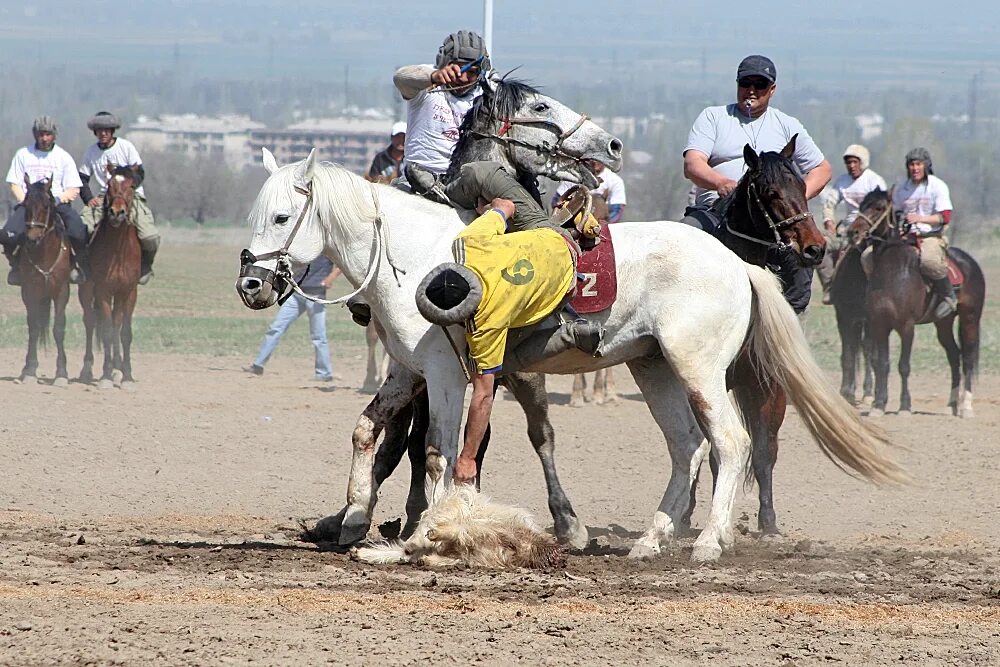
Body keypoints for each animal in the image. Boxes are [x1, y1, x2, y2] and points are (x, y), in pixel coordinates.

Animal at [14, 177, 72, 386]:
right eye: (25, 204)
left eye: (46, 206)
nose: (33, 239)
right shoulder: (30, 292)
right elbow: (33, 328)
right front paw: (30, 369)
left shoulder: (61, 292)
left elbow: (59, 328)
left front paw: (62, 373)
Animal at [78, 164, 142, 388]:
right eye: (110, 184)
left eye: (132, 185)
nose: (117, 212)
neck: (118, 251)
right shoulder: (103, 291)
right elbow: (105, 331)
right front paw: (106, 375)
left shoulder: (129, 292)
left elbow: (124, 332)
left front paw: (127, 375)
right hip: (86, 290)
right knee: (89, 322)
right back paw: (87, 369)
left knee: (116, 322)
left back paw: (117, 368)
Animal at [240, 78, 900, 560]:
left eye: (281, 218)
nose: (251, 284)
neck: (416, 248)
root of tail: (738, 264)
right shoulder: (409, 371)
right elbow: (368, 431)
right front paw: (354, 517)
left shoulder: (450, 374)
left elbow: (437, 453)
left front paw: (422, 537)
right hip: (654, 368)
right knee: (686, 445)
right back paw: (650, 540)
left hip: (699, 368)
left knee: (730, 444)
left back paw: (709, 542)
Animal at [852, 188, 984, 418]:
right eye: (861, 205)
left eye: (878, 207)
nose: (854, 232)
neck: (894, 272)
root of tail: (971, 263)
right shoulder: (879, 325)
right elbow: (882, 364)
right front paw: (878, 405)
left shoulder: (906, 327)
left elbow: (903, 365)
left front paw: (905, 407)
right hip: (943, 324)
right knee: (954, 355)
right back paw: (951, 405)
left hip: (970, 319)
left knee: (967, 357)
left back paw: (966, 407)